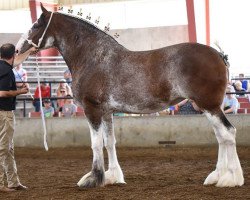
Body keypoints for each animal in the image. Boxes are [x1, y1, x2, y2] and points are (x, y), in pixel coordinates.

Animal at [16, 3, 243, 188]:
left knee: (228, 133)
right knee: (221, 137)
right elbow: (109, 142)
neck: (94, 58)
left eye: (36, 25)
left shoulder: (92, 109)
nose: (17, 49)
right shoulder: (106, 112)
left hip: (209, 106)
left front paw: (93, 178)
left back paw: (231, 179)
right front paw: (112, 177)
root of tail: (219, 55)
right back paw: (216, 176)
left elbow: (95, 144)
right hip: (209, 107)